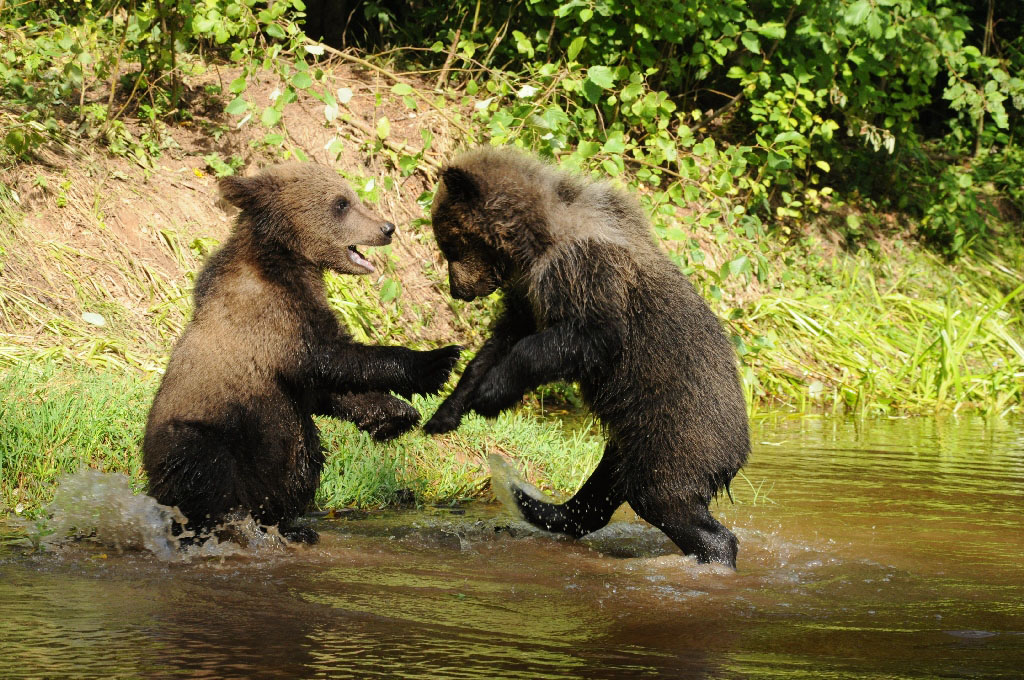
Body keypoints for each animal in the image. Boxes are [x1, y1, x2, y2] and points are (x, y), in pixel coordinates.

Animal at [143, 160, 460, 540]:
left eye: (351, 196)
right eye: (341, 203)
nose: (387, 227)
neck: (288, 259)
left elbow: (322, 387)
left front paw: (395, 414)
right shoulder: (273, 316)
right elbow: (330, 358)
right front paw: (437, 361)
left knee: (301, 464)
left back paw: (290, 527)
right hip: (205, 437)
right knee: (209, 481)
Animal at [423, 147, 753, 569]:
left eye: (448, 244)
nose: (457, 289)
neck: (535, 240)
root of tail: (739, 452)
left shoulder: (583, 269)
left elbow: (589, 335)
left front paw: (492, 394)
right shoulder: (528, 292)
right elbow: (501, 340)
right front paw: (446, 410)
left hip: (677, 436)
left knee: (662, 498)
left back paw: (713, 553)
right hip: (630, 440)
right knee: (601, 493)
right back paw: (541, 507)